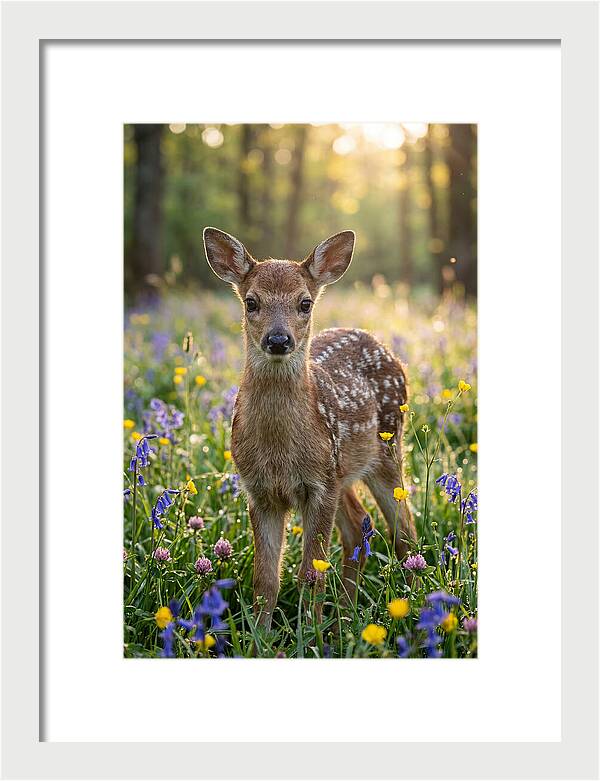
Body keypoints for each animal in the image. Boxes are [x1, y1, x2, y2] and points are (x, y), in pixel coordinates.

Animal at [203, 227, 415, 629]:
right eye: (251, 302)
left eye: (304, 303)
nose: (278, 339)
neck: (278, 451)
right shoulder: (260, 490)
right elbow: (265, 578)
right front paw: (261, 635)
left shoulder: (318, 486)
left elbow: (311, 573)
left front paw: (309, 632)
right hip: (342, 471)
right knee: (359, 526)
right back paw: (346, 617)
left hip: (385, 451)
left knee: (404, 532)